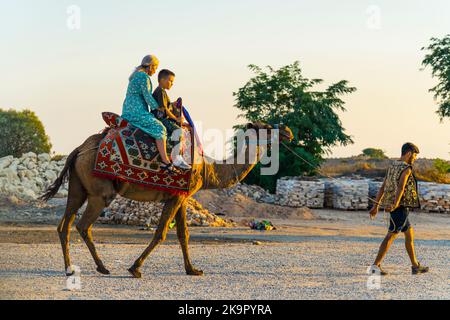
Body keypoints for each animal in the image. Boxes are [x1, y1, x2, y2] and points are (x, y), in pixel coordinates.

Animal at [40, 122, 294, 278]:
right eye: (266, 127)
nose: (288, 131)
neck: (208, 169)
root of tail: (78, 150)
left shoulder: (181, 197)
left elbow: (183, 234)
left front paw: (193, 270)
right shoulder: (176, 197)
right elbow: (161, 233)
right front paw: (135, 268)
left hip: (78, 187)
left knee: (64, 225)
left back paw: (70, 269)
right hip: (100, 192)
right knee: (83, 226)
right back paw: (102, 267)